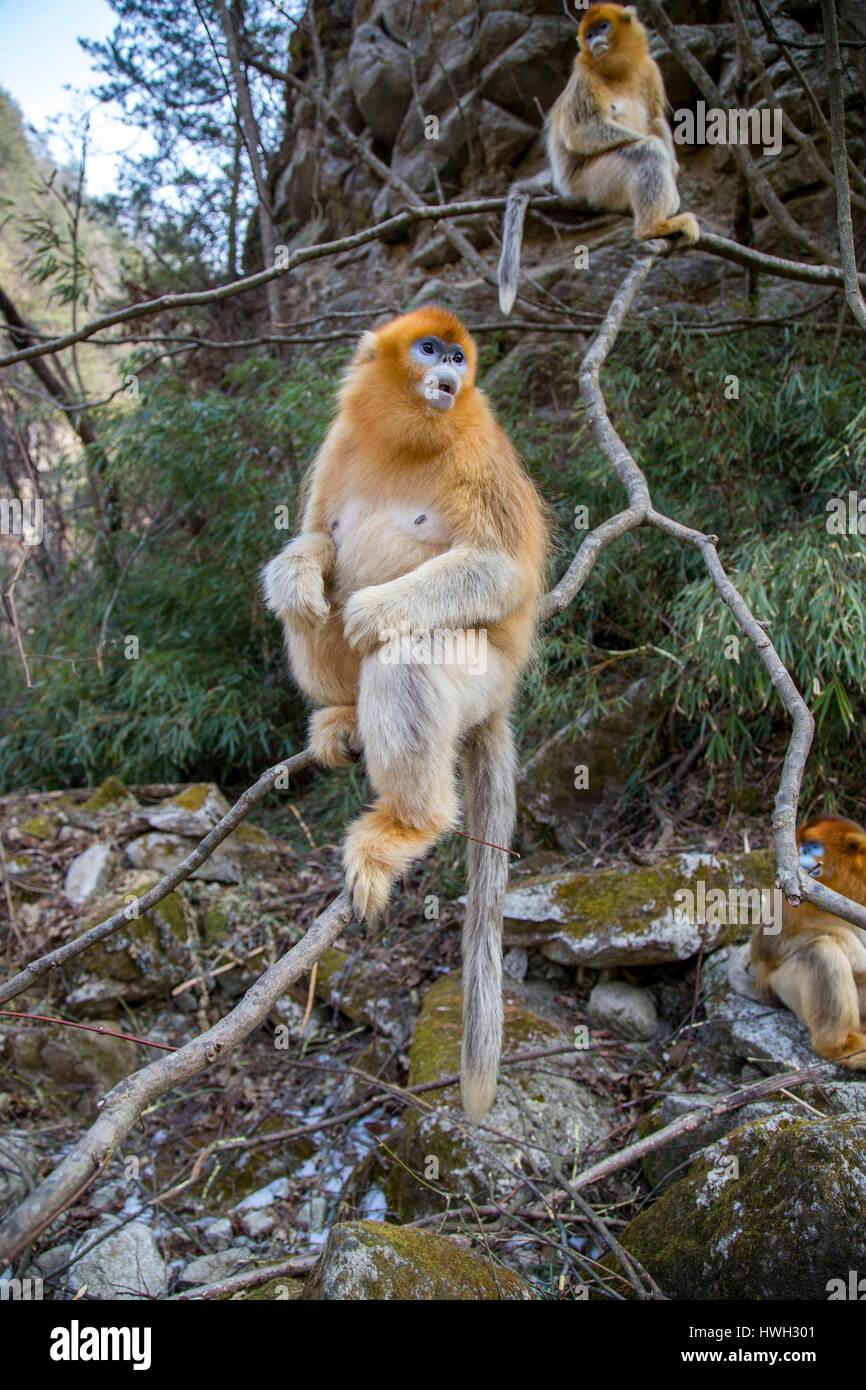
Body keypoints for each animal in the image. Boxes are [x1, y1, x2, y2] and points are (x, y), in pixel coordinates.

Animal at [261, 307, 548, 1121]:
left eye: (458, 358)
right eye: (430, 350)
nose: (447, 370)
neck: (409, 433)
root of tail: (505, 694)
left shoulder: (478, 439)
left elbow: (499, 568)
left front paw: (374, 609)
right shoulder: (341, 438)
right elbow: (317, 538)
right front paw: (298, 567)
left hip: (483, 676)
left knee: (406, 658)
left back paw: (410, 825)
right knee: (310, 598)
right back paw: (341, 713)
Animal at [498, 2, 699, 315]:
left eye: (603, 27)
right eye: (590, 33)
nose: (595, 40)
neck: (617, 70)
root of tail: (563, 182)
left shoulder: (650, 69)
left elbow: (654, 119)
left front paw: (675, 169)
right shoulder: (584, 74)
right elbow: (581, 132)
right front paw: (666, 159)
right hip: (589, 182)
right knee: (646, 151)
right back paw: (651, 228)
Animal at [750, 816, 866, 1069]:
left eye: (812, 846)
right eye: (801, 846)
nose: (801, 852)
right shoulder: (793, 888)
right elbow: (767, 947)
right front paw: (856, 951)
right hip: (784, 985)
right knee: (820, 952)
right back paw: (842, 1048)